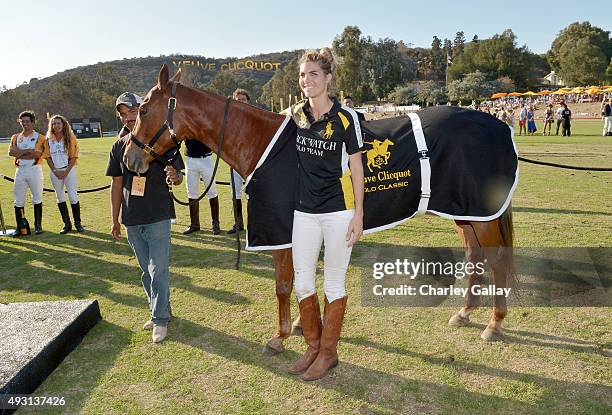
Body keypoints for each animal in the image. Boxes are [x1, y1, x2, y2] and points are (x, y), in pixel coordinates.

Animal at [122, 64, 512, 352]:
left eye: (144, 109)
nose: (129, 158)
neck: (261, 142)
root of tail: (497, 124)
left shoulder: (281, 233)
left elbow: (283, 285)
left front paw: (280, 335)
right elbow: (300, 280)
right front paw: (299, 324)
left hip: (481, 215)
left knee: (497, 260)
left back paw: (494, 323)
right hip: (464, 213)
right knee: (475, 254)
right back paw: (465, 312)